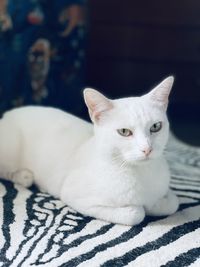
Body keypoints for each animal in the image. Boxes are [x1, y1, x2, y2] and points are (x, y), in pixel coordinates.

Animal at [0, 77, 178, 226]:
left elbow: (174, 202)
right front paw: (141, 208)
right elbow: (136, 214)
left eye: (156, 127)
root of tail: (6, 115)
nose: (147, 149)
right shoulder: (75, 196)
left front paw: (157, 203)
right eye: (124, 132)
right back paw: (23, 176)